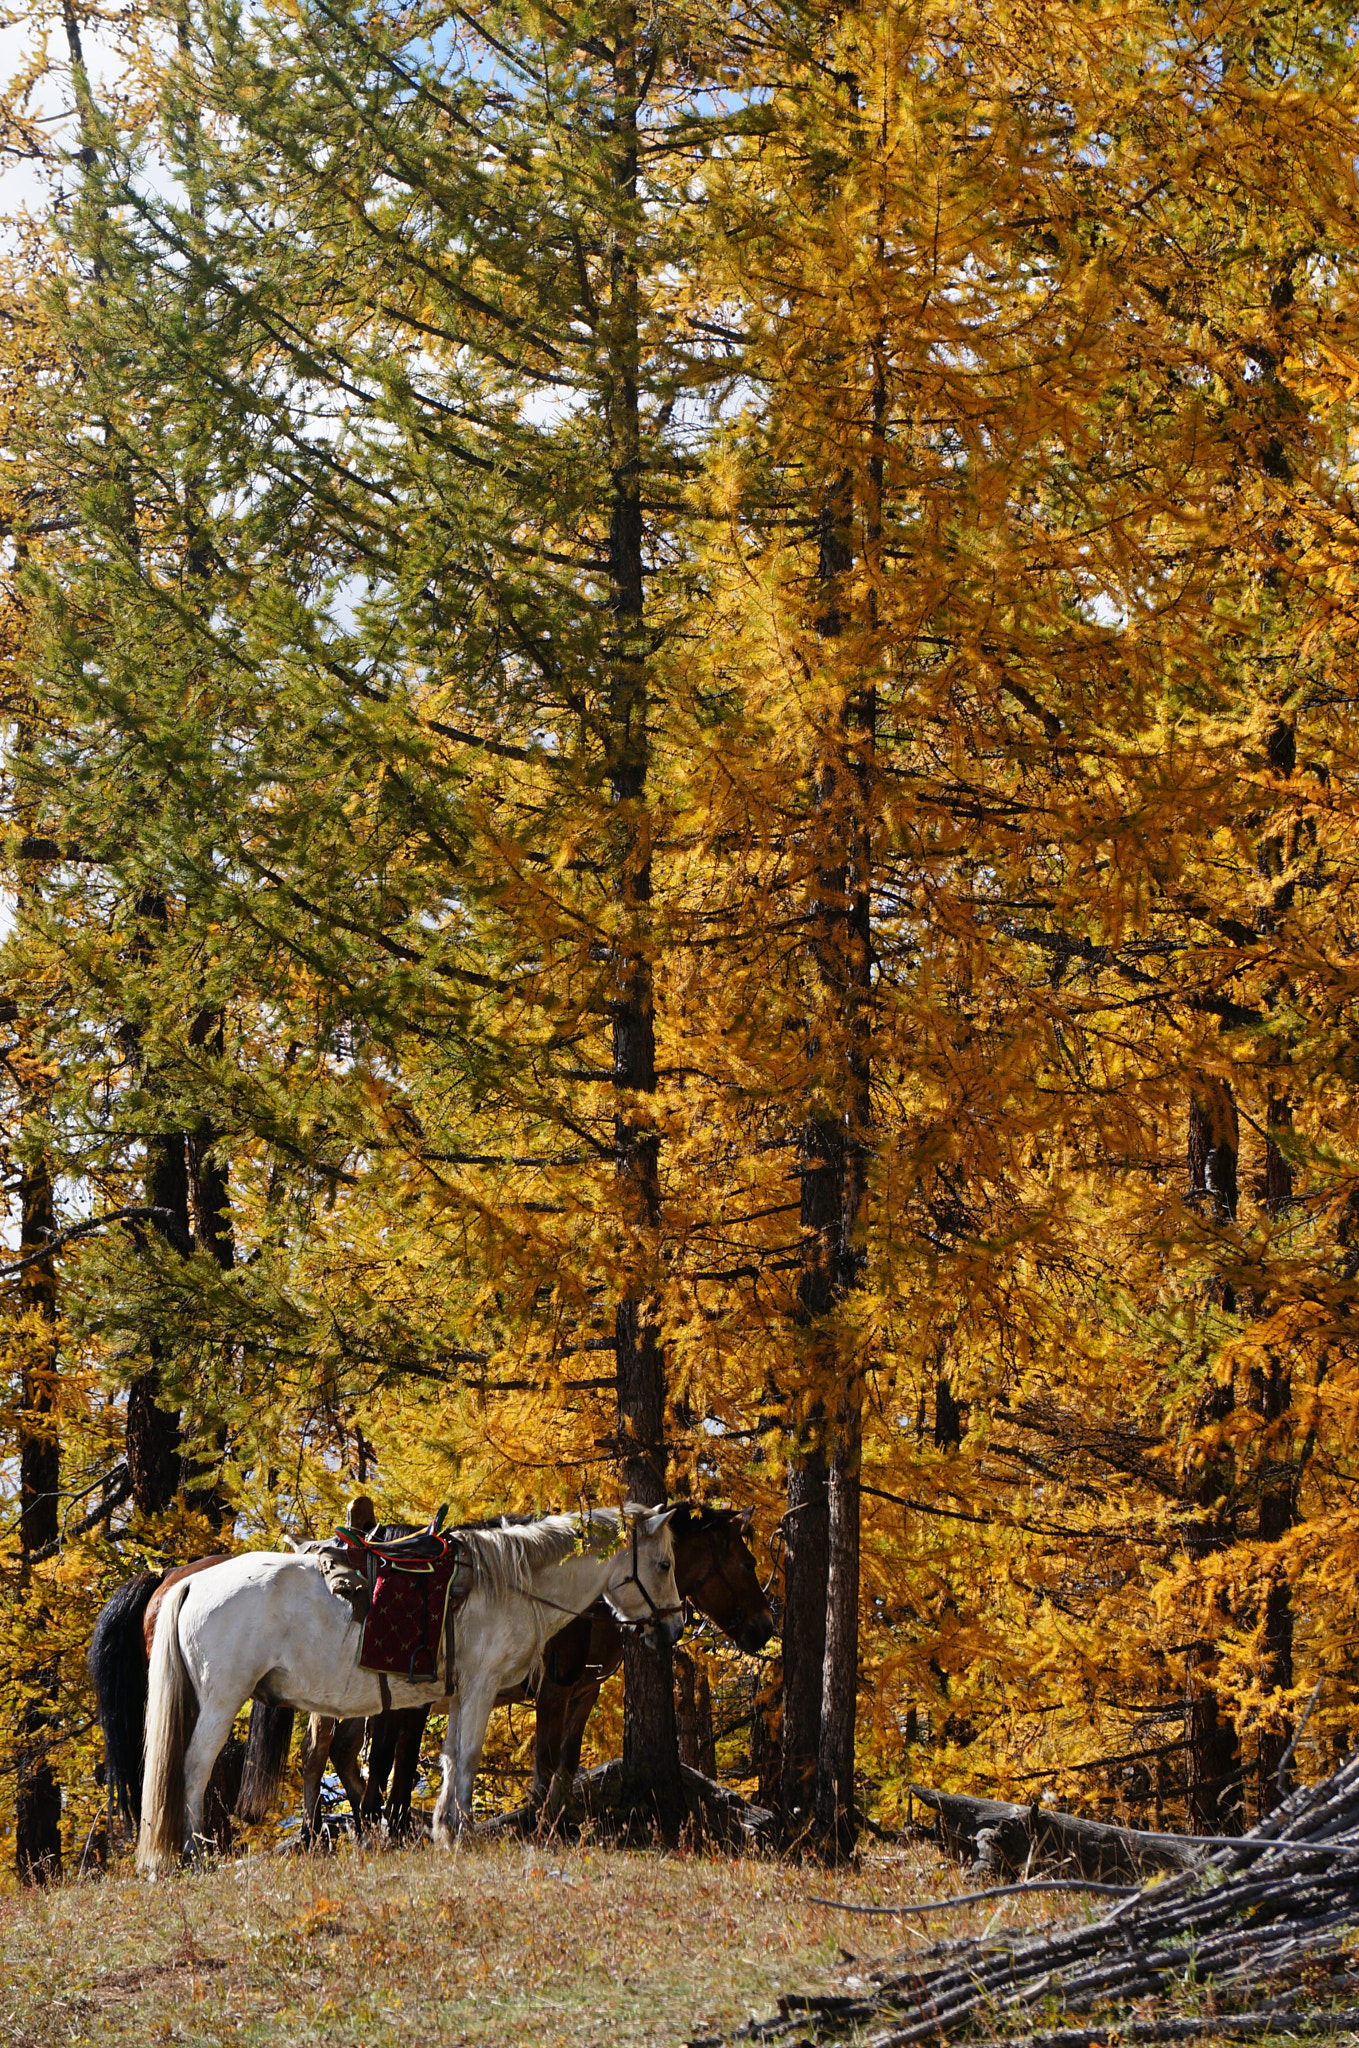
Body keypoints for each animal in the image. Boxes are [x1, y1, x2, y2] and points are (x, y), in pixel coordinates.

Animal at [138, 1507, 679, 1875]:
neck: (508, 1582)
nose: (673, 1627)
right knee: (194, 1766)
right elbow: (467, 1756)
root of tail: (192, 1582)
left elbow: (450, 1757)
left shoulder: (461, 1693)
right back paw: (195, 1852)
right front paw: (460, 1831)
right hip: (222, 1700)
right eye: (665, 1564)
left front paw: (444, 1827)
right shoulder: (483, 1684)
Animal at [290, 1507, 769, 1843]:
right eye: (748, 1564)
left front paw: (557, 1823)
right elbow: (543, 1762)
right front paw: (541, 1828)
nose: (765, 1628)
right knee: (338, 1755)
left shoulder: (585, 1691)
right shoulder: (555, 1689)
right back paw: (332, 1830)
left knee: (342, 1754)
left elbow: (566, 1763)